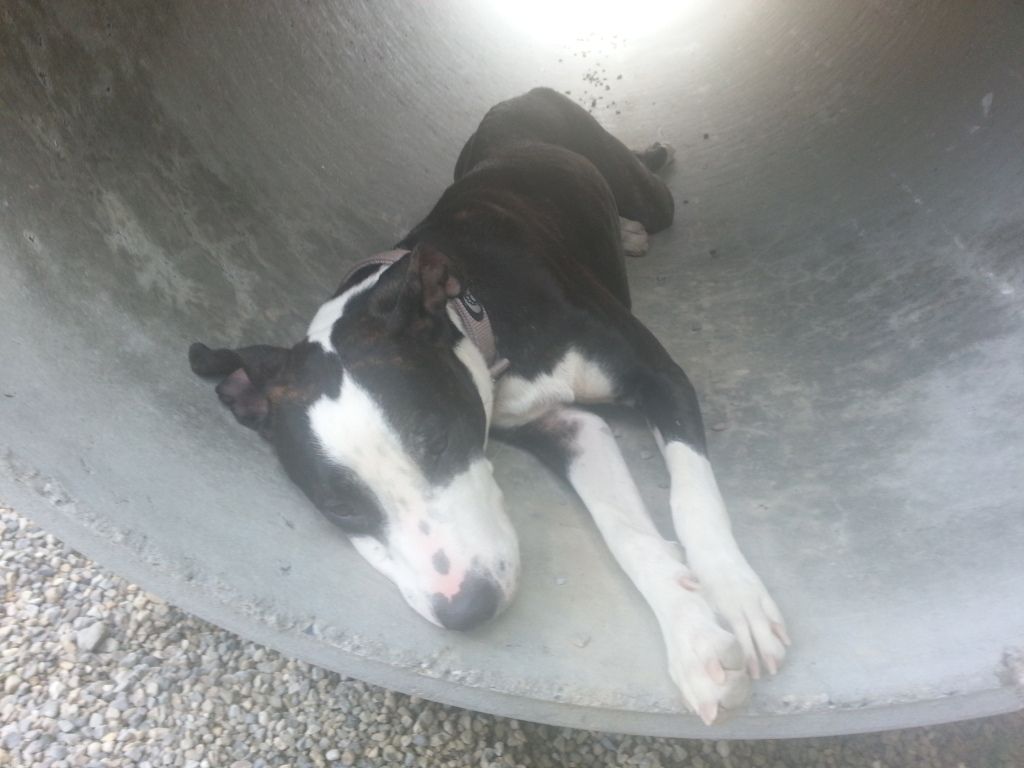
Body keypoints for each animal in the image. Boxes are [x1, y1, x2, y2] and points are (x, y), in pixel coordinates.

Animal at [189, 87, 789, 724]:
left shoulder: (662, 377)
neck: (478, 312)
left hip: (647, 193)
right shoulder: (569, 429)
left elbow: (693, 498)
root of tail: (515, 98)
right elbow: (624, 530)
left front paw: (737, 598)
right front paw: (697, 644)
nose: (467, 608)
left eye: (437, 440)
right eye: (340, 508)